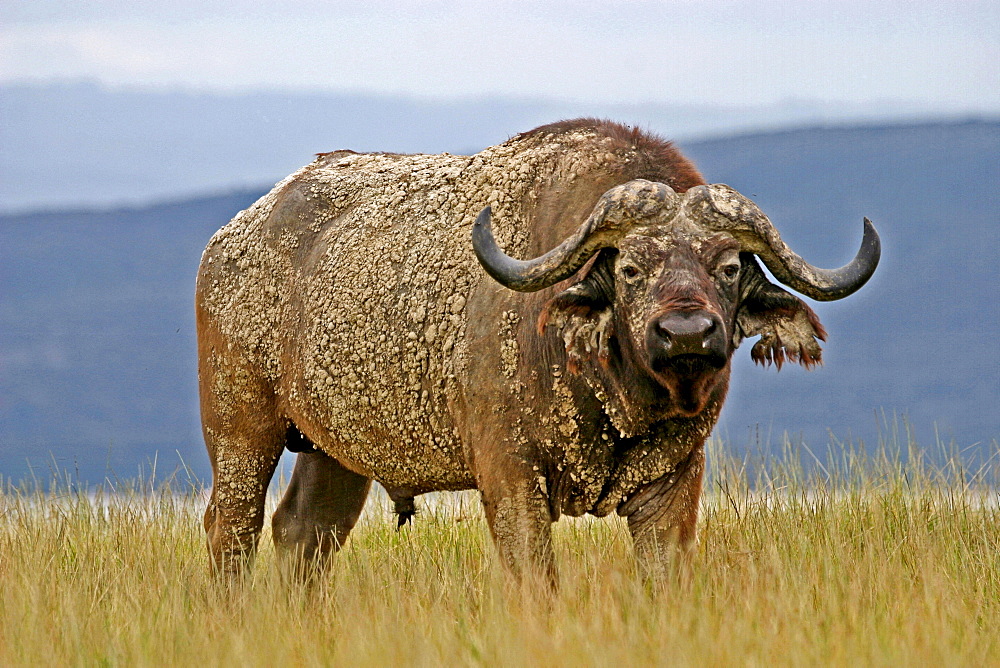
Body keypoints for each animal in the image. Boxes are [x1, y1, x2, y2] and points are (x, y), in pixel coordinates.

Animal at [199, 117, 880, 580]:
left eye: (731, 267)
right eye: (629, 268)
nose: (688, 333)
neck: (614, 400)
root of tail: (232, 237)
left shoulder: (675, 485)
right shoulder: (510, 480)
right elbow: (536, 582)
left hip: (334, 452)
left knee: (304, 534)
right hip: (241, 432)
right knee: (230, 531)